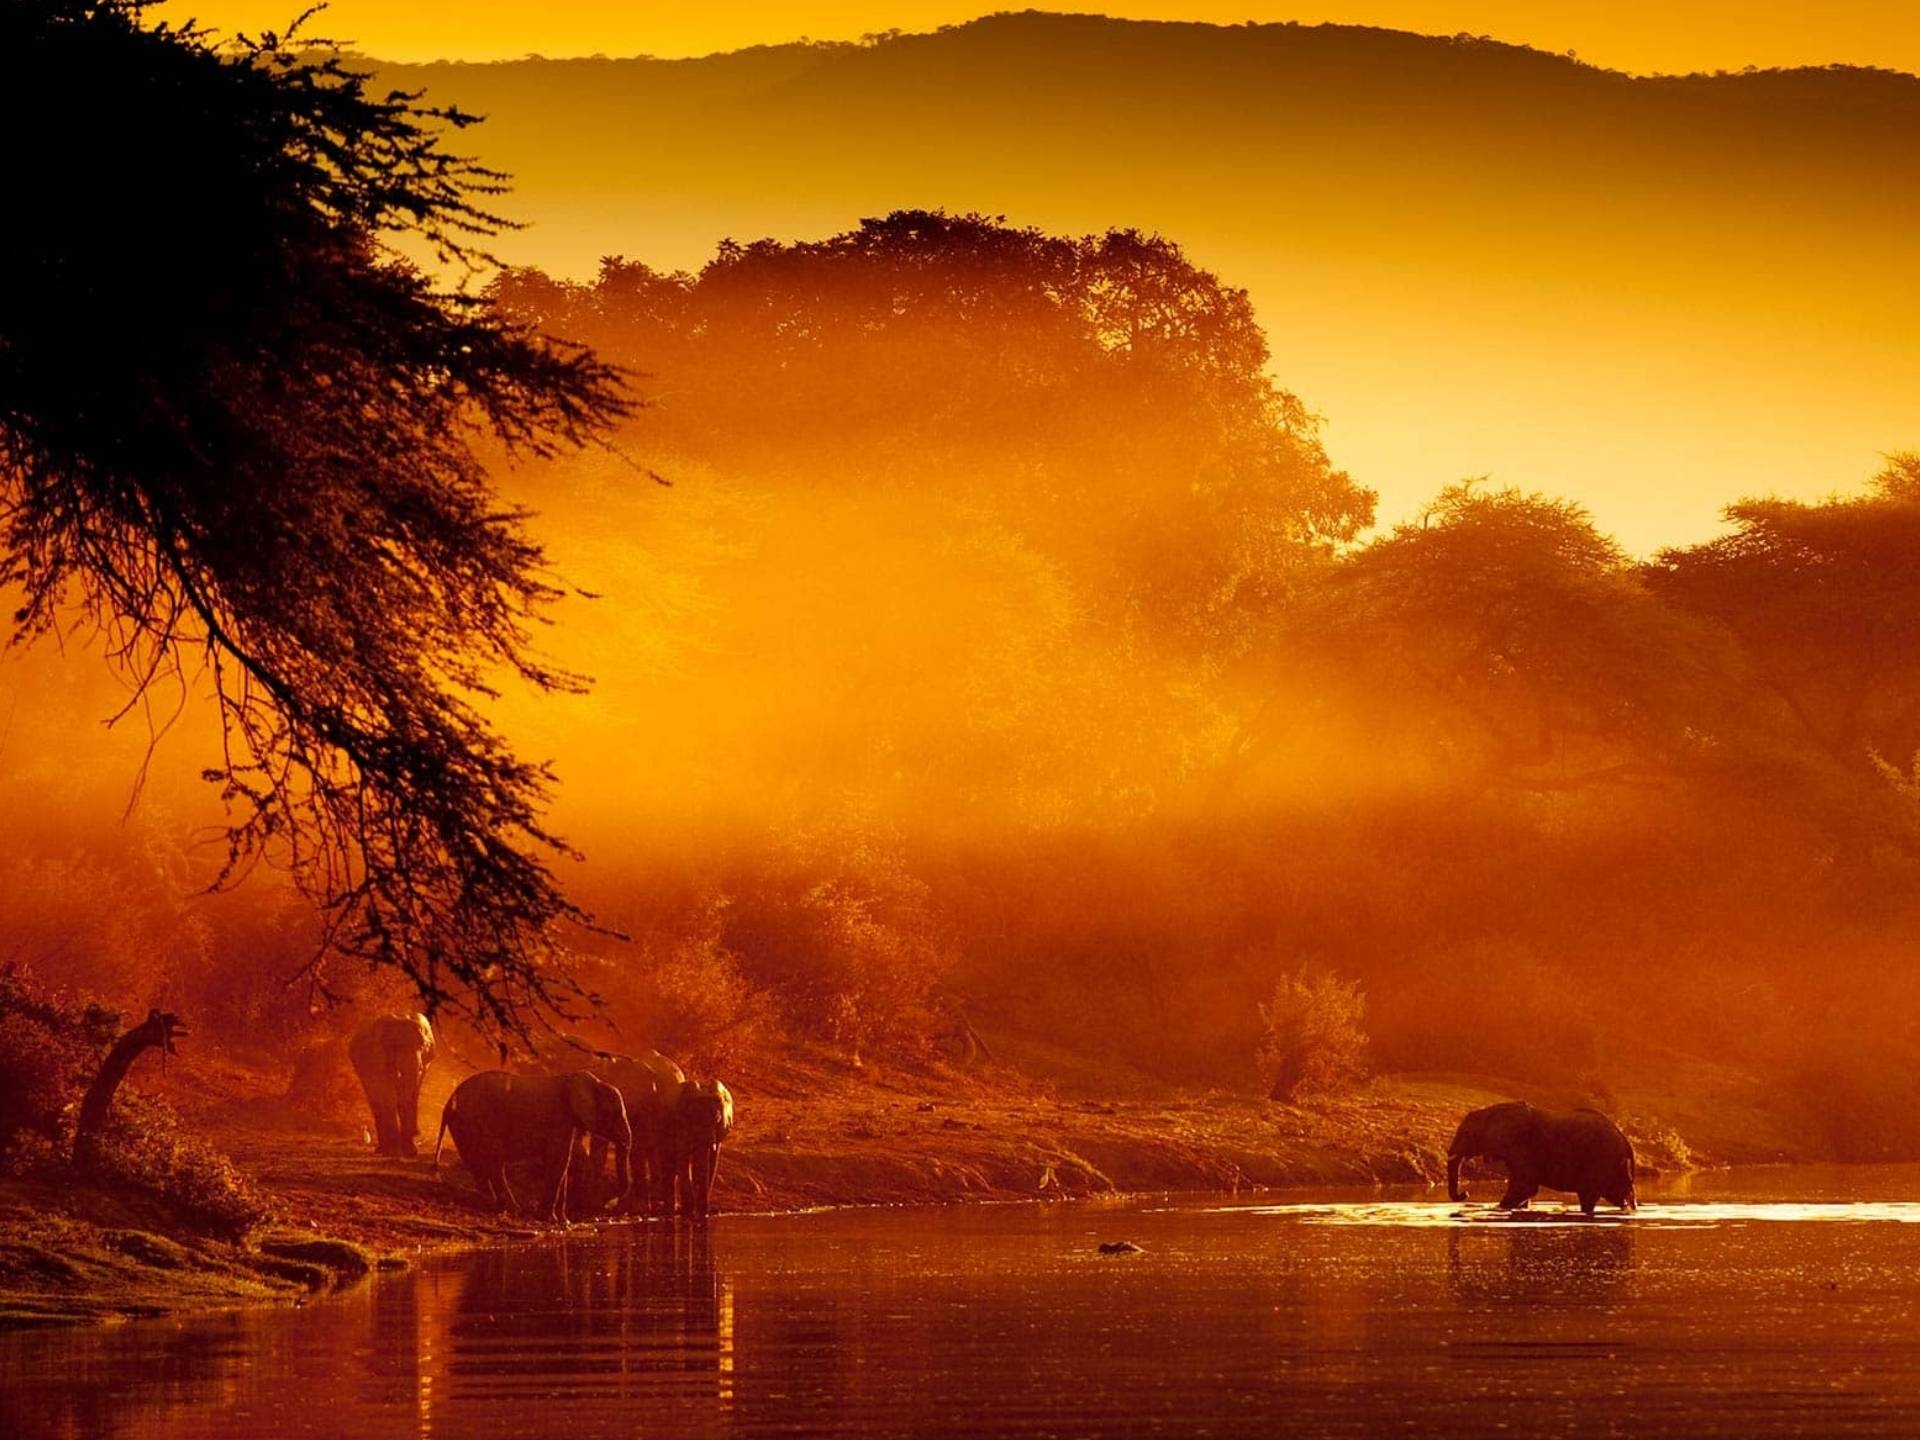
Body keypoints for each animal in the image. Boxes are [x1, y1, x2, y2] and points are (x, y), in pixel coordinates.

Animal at [347, 1013, 437, 1159]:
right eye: (396, 1046)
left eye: (423, 1045)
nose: (417, 1131)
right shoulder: (377, 1057)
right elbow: (389, 1096)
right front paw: (394, 1153)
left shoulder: (425, 1062)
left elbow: (411, 1093)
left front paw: (411, 1153)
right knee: (375, 1102)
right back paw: (382, 1150)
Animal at [432, 1075, 633, 1221]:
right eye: (613, 1113)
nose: (609, 1204)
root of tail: (447, 1105)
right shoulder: (559, 1119)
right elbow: (558, 1163)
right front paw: (552, 1220)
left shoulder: (567, 1122)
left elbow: (564, 1162)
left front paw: (564, 1222)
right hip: (476, 1120)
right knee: (494, 1163)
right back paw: (513, 1209)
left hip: (463, 1125)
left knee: (478, 1164)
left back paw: (491, 1201)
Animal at [668, 1075, 741, 1221]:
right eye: (690, 1119)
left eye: (717, 1119)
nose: (700, 1214)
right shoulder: (680, 1122)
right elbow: (683, 1159)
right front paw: (688, 1212)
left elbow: (711, 1161)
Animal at [1443, 1105, 1635, 1221]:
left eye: (1466, 1133)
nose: (1466, 1194)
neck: (1491, 1111)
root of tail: (1625, 1141)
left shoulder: (1522, 1147)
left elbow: (1525, 1187)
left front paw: (1499, 1209)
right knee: (1619, 1194)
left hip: (1602, 1160)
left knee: (1590, 1195)